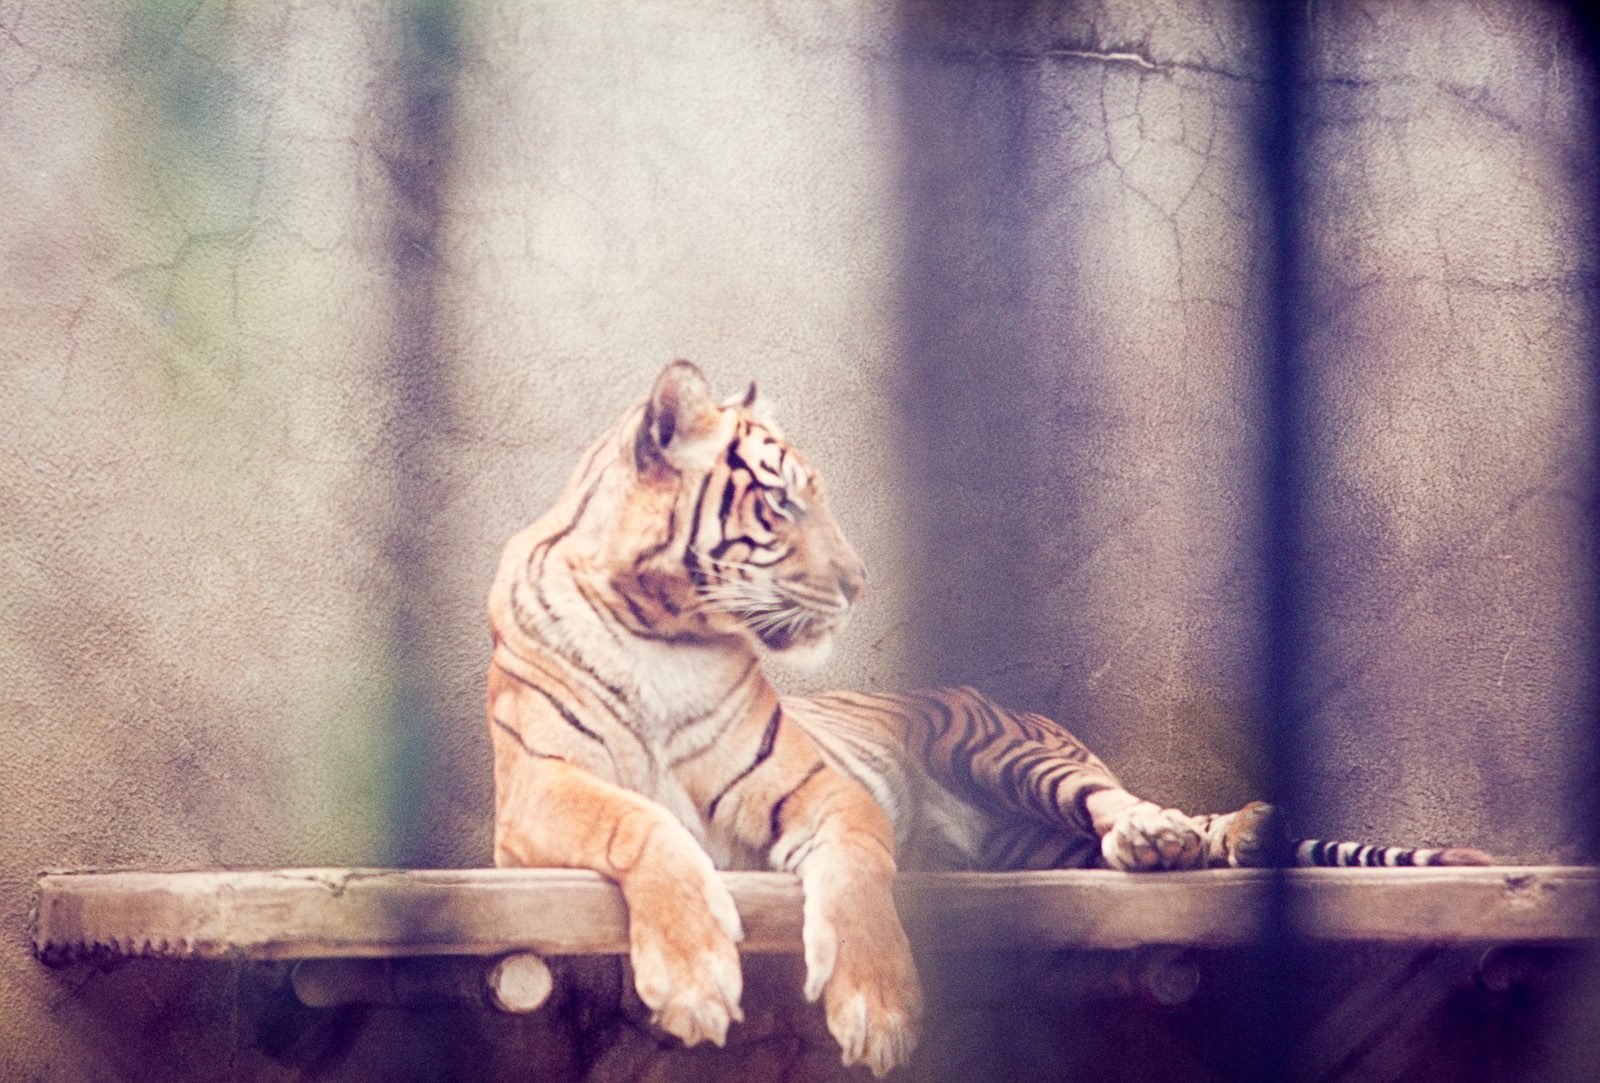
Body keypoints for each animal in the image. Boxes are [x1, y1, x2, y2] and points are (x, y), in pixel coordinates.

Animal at [486, 360, 1489, 1078]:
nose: (859, 583)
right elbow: (641, 821)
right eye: (779, 501)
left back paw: (1182, 834)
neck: (662, 626)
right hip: (1031, 840)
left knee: (1120, 802)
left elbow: (858, 877)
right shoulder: (534, 796)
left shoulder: (822, 788)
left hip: (1010, 750)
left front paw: (880, 1011)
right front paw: (695, 981)